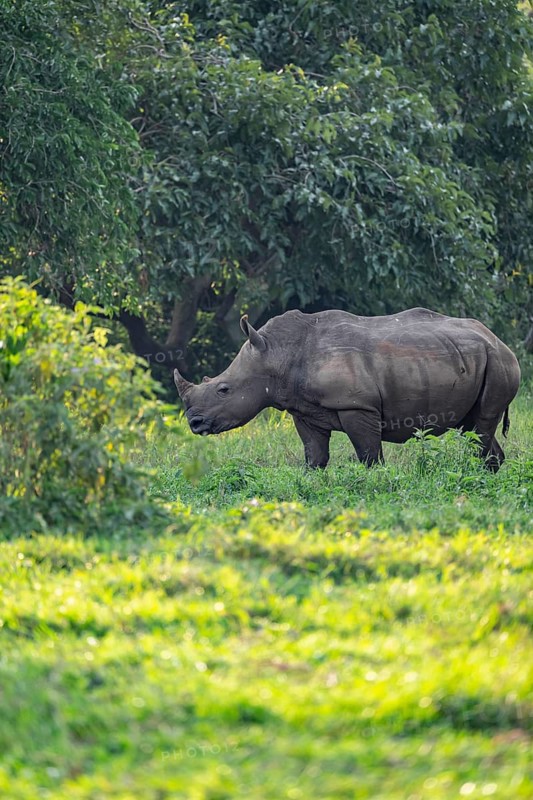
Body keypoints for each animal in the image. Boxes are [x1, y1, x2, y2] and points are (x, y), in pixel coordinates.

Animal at [174, 308, 520, 471]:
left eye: (224, 389)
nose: (195, 423)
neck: (278, 353)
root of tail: (497, 339)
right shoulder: (303, 409)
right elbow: (314, 456)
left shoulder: (357, 405)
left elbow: (369, 457)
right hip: (474, 356)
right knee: (474, 426)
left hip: (499, 362)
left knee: (481, 428)